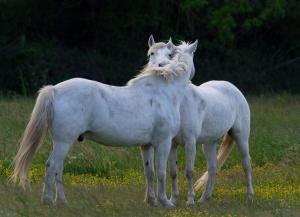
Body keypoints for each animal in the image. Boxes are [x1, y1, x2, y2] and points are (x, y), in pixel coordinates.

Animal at [11, 41, 197, 209]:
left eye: (169, 54)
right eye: (152, 53)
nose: (160, 64)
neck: (163, 91)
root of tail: (55, 89)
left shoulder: (147, 145)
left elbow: (149, 172)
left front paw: (151, 201)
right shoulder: (163, 143)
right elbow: (161, 173)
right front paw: (165, 202)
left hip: (62, 142)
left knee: (58, 168)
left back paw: (62, 201)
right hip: (63, 142)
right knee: (51, 166)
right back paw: (48, 201)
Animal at [143, 35, 253, 205]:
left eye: (170, 55)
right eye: (151, 53)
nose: (161, 66)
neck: (180, 102)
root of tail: (232, 87)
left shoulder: (190, 142)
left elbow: (189, 171)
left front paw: (190, 201)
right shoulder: (172, 144)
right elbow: (173, 172)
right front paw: (173, 199)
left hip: (241, 137)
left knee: (246, 163)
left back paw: (249, 196)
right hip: (209, 143)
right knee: (213, 167)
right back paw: (204, 198)